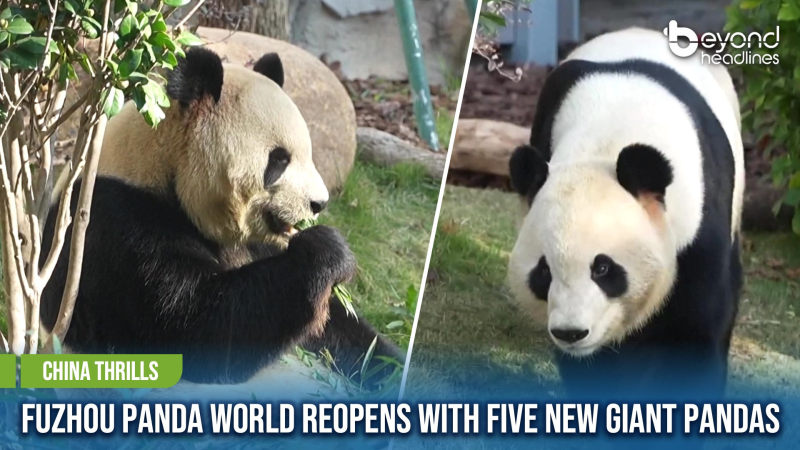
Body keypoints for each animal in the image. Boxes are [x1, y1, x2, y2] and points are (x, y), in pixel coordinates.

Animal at [40, 47, 401, 387]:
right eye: (279, 159)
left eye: (306, 154)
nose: (318, 203)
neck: (161, 165)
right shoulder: (118, 222)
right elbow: (189, 329)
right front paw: (327, 251)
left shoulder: (261, 243)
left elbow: (338, 328)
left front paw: (395, 368)